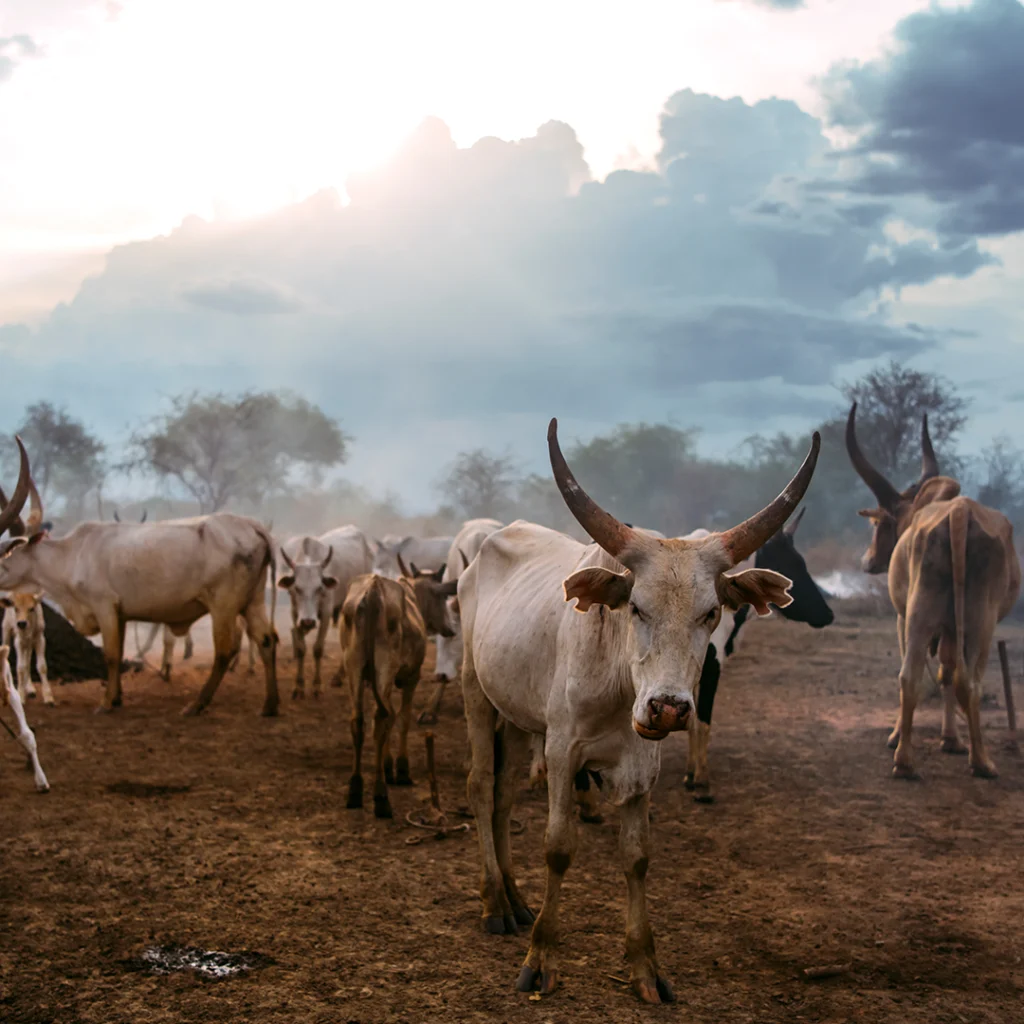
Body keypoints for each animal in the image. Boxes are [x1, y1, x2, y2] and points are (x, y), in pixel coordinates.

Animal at [0, 436, 278, 716]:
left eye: (5, 554)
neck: (73, 553)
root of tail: (252, 526)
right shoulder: (120, 615)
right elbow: (119, 651)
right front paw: (117, 697)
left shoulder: (104, 607)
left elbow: (111, 655)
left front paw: (105, 703)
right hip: (253, 601)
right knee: (266, 640)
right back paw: (269, 705)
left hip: (223, 606)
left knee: (224, 651)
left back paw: (197, 704)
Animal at [339, 557, 456, 819]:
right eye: (442, 597)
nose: (451, 628)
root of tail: (372, 591)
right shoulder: (411, 677)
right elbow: (402, 718)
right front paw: (401, 769)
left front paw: (387, 764)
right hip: (385, 666)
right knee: (382, 717)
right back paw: (381, 797)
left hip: (354, 667)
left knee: (359, 720)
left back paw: (355, 790)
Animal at [847, 399, 1015, 774]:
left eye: (877, 525)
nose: (867, 561)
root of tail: (959, 513)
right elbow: (946, 674)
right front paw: (950, 739)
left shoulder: (904, 617)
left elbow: (939, 674)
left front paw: (921, 736)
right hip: (978, 623)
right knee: (965, 681)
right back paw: (980, 760)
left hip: (922, 617)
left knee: (913, 677)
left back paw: (906, 760)